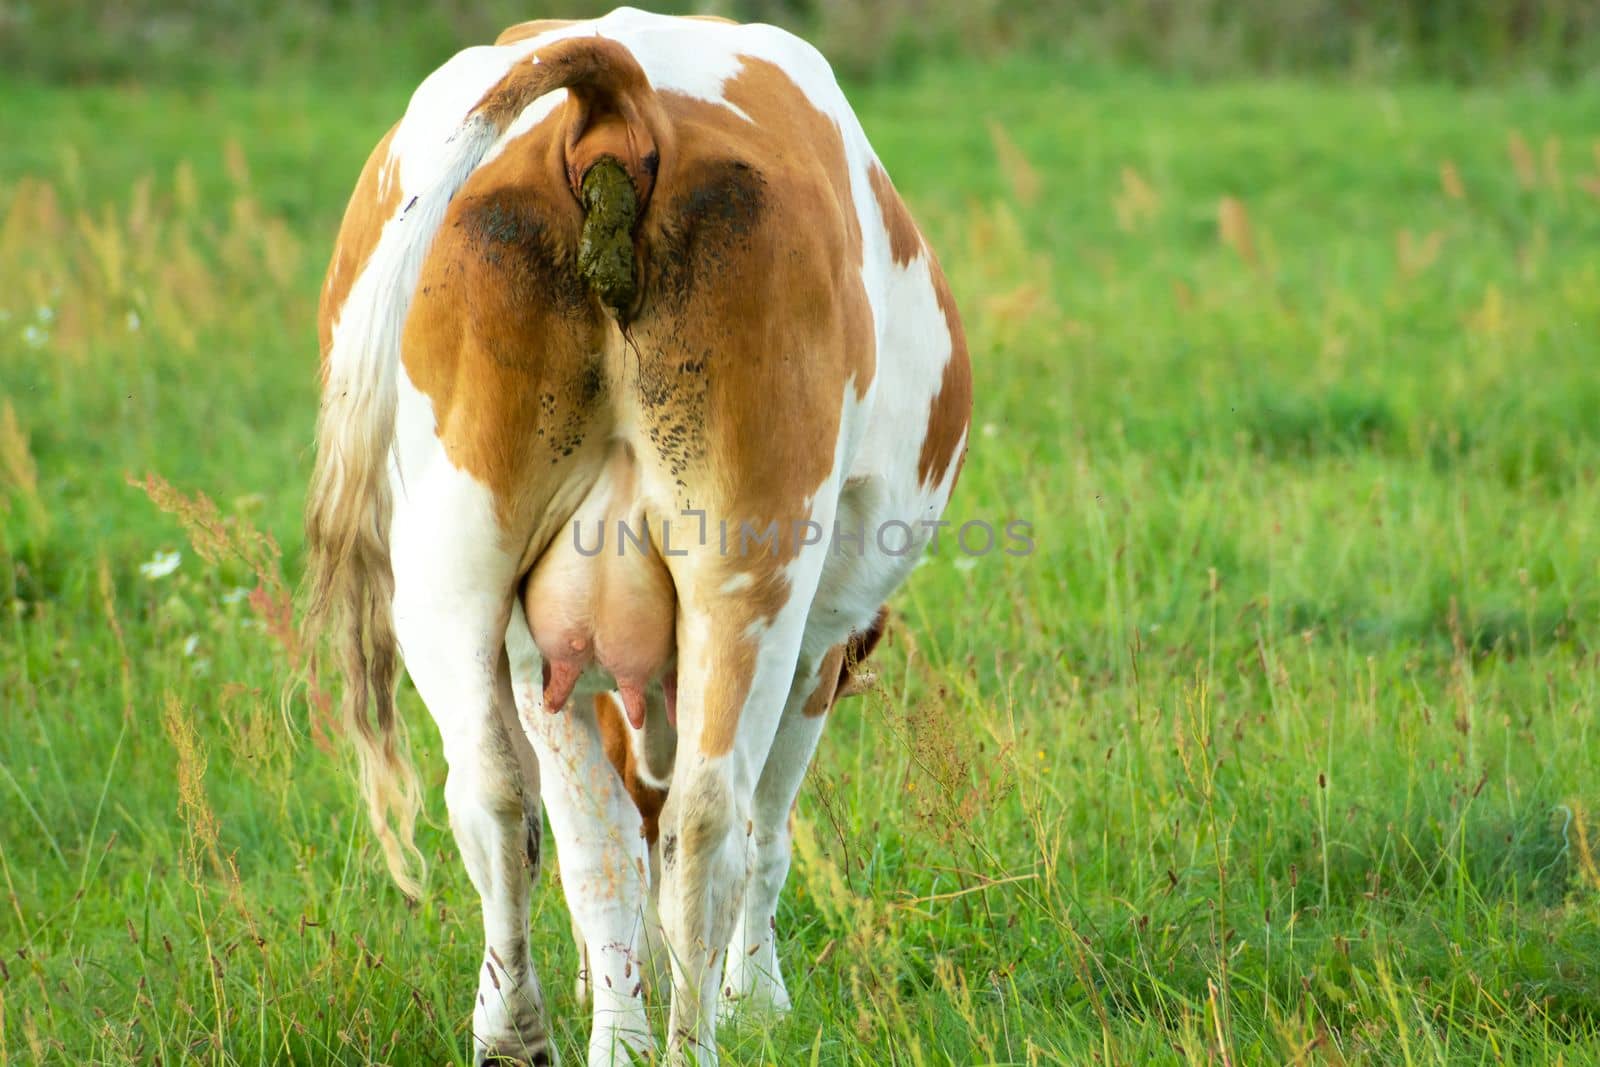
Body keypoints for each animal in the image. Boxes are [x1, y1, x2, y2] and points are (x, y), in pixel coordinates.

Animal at [305, 10, 966, 1067]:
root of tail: (614, 100)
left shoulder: (546, 649)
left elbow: (596, 843)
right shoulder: (820, 645)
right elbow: (764, 826)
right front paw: (758, 1001)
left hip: (451, 569)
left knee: (503, 804)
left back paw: (521, 1030)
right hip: (752, 574)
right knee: (707, 819)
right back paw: (690, 1038)